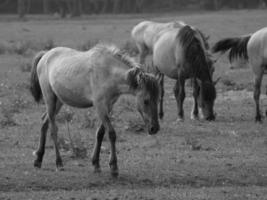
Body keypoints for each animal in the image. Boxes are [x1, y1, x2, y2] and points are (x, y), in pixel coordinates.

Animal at [29, 43, 159, 177]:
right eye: (146, 101)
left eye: (158, 98)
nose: (154, 128)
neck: (108, 72)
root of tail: (46, 54)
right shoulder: (100, 105)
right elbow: (111, 133)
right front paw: (114, 167)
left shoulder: (108, 106)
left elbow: (100, 133)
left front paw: (96, 164)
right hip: (49, 98)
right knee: (53, 130)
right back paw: (59, 163)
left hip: (59, 101)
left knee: (44, 122)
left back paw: (38, 159)